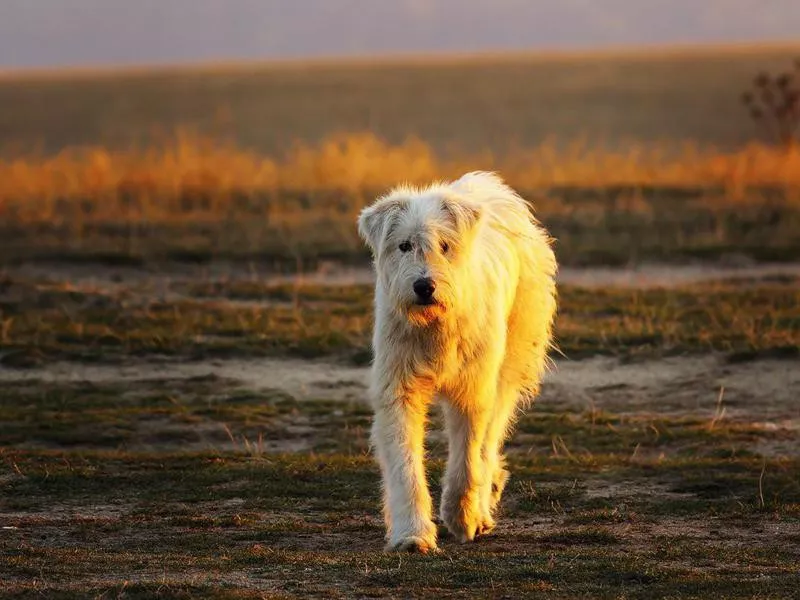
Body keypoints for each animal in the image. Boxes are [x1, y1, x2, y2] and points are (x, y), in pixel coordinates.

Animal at [360, 170, 560, 552]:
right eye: (404, 246)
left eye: (445, 245)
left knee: (491, 437)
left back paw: (483, 503)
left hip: (510, 362)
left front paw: (462, 517)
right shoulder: (398, 387)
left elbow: (468, 455)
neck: (436, 324)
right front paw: (412, 534)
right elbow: (405, 462)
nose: (424, 286)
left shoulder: (473, 387)